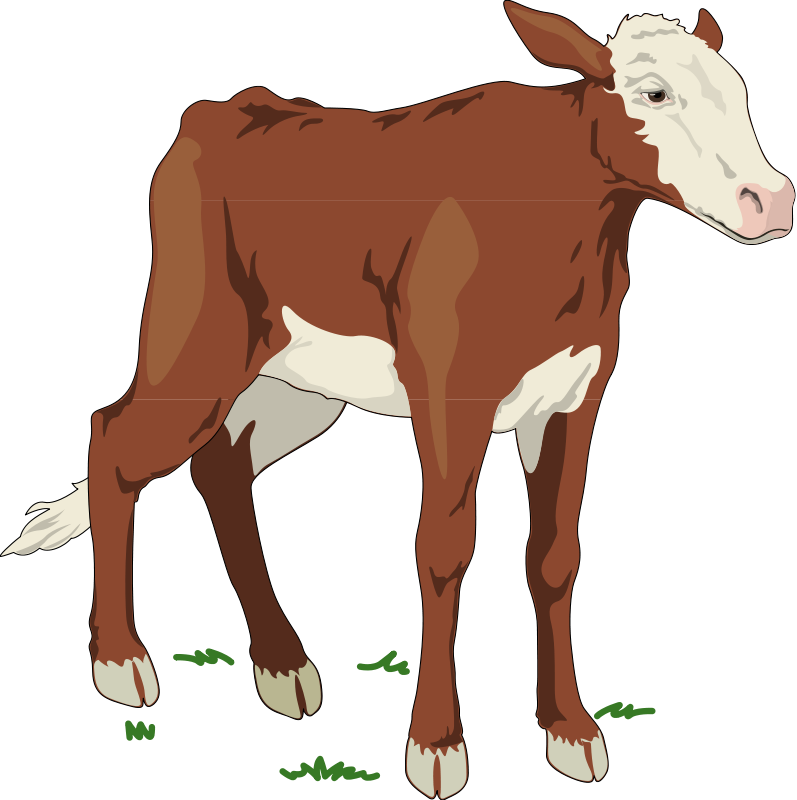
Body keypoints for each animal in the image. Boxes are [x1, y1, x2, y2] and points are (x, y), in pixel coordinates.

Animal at [5, 3, 791, 796]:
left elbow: (555, 556)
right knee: (115, 441)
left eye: (741, 94)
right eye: (654, 95)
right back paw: (122, 662)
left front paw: (570, 731)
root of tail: (223, 110)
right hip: (198, 340)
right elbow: (442, 551)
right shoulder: (449, 388)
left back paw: (281, 666)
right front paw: (435, 746)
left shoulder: (575, 393)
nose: (772, 200)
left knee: (221, 467)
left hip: (301, 381)